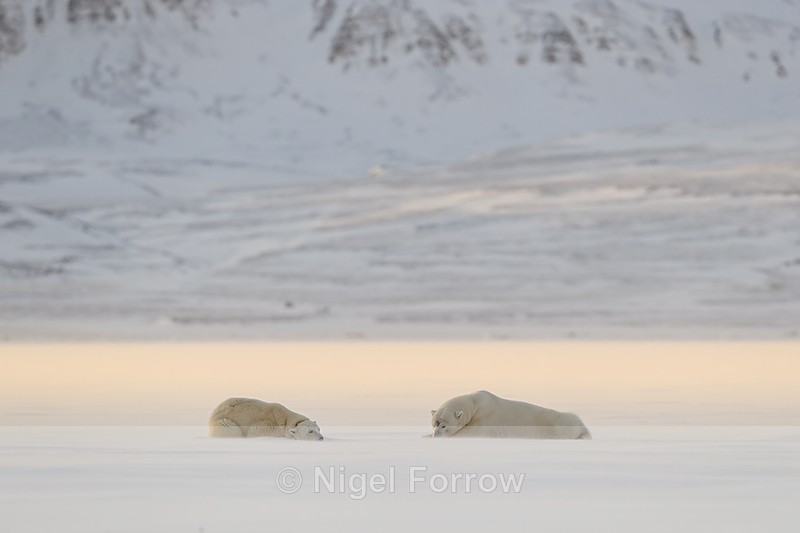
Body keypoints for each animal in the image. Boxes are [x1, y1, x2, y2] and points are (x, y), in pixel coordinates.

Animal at [431, 390, 591, 439]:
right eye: (434, 424)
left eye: (444, 425)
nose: (435, 435)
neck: (475, 404)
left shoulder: (486, 420)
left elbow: (471, 432)